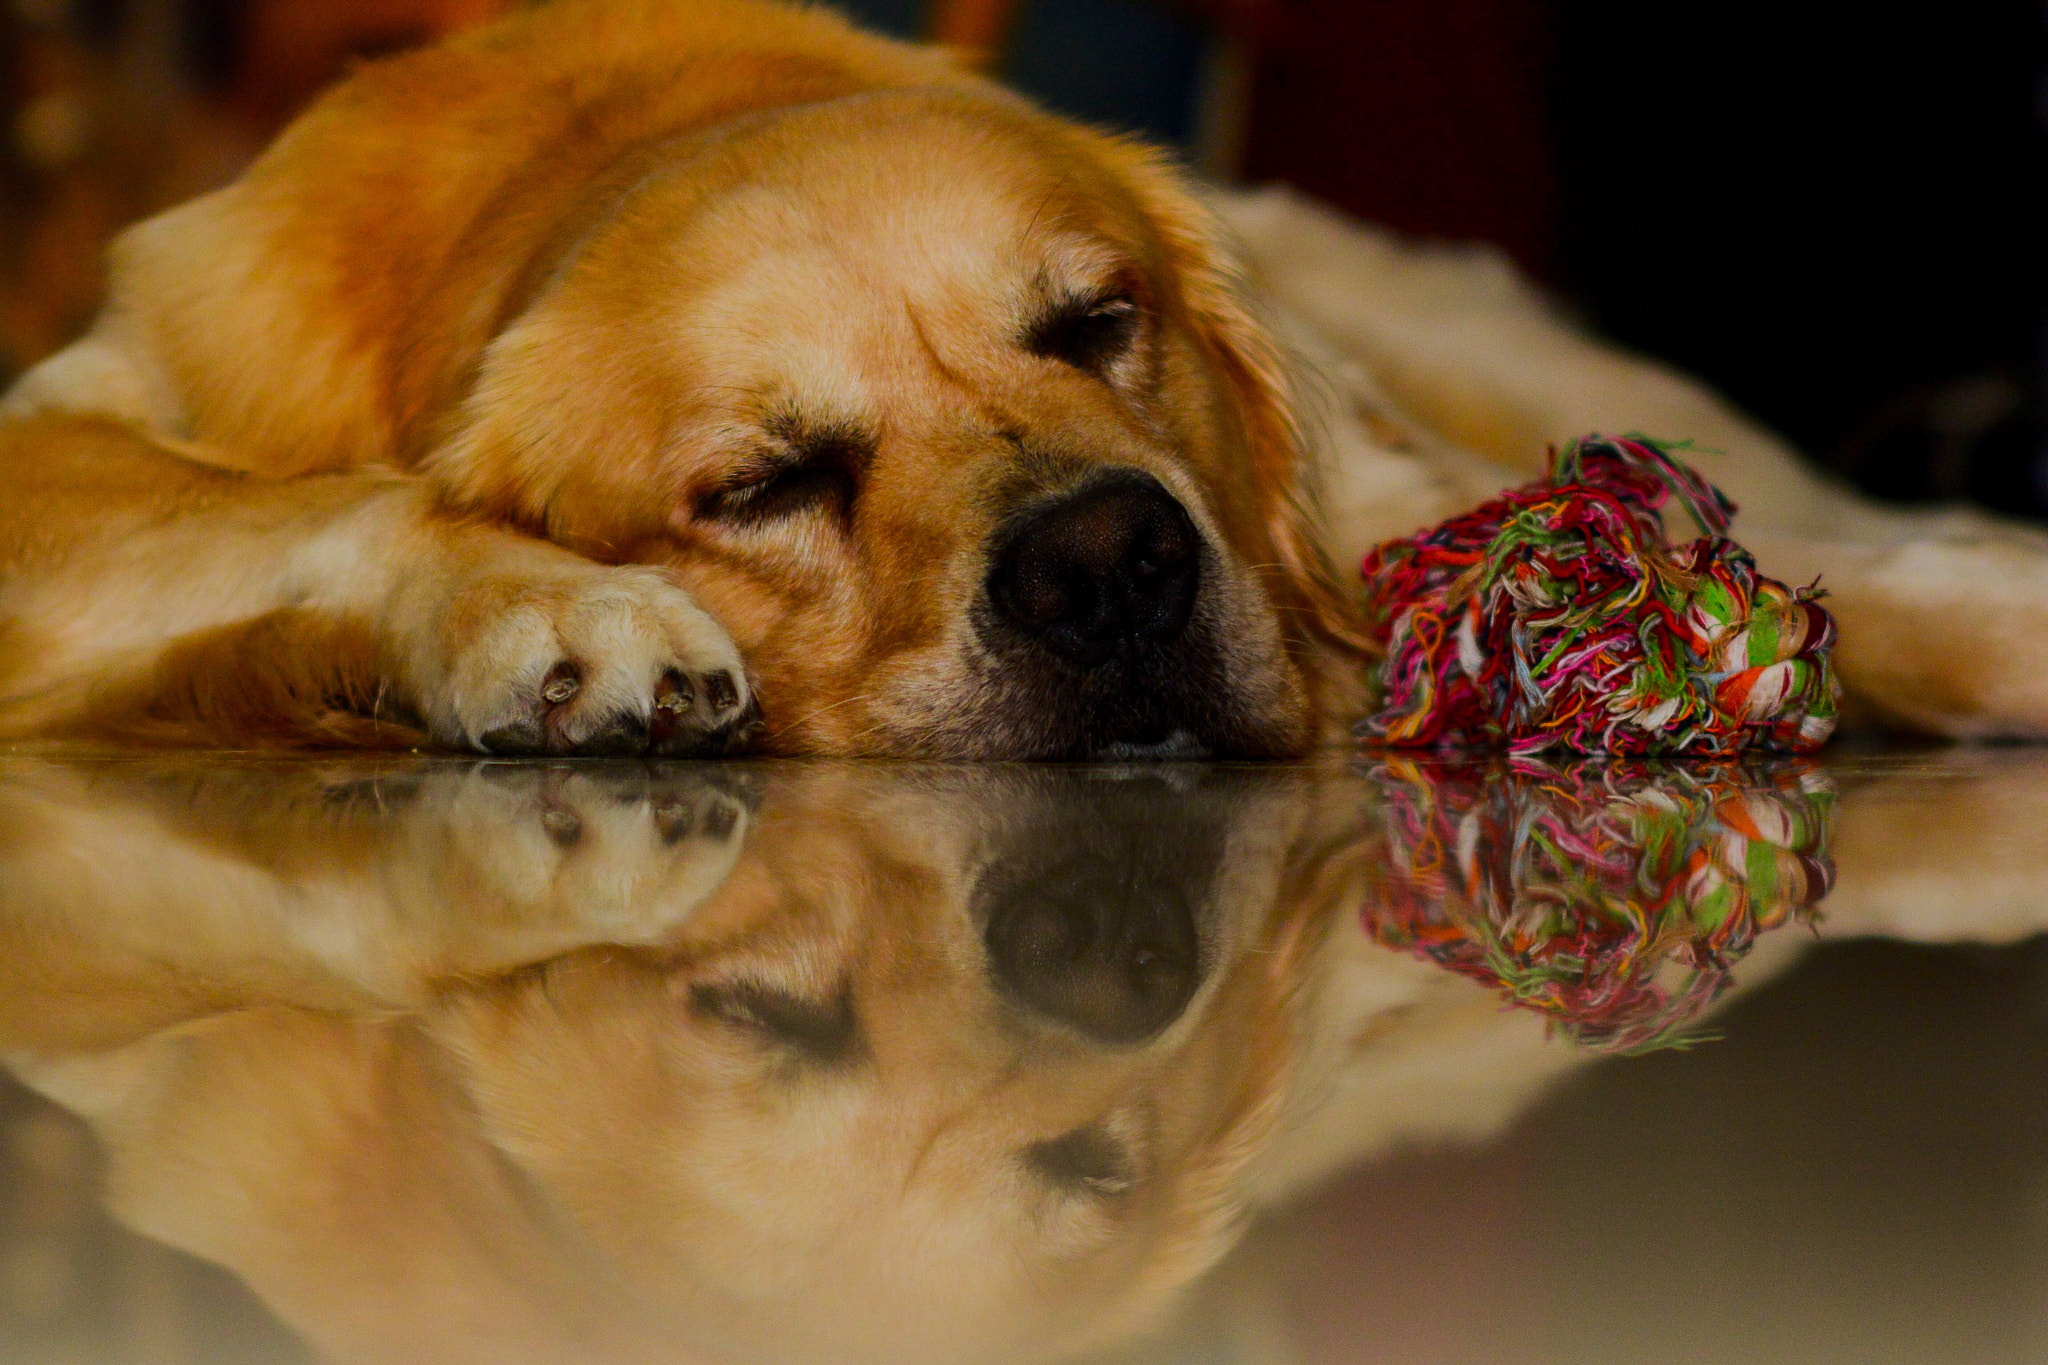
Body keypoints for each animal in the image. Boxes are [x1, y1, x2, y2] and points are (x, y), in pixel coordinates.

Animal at [8, 0, 2039, 757]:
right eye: (758, 487)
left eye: (1094, 322)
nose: (1107, 573)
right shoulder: (72, 426)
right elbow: (336, 495)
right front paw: (539, 603)